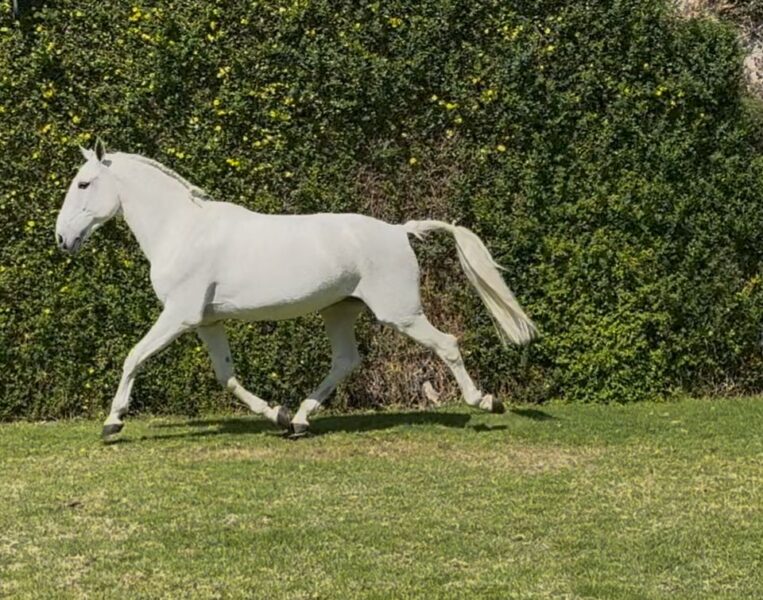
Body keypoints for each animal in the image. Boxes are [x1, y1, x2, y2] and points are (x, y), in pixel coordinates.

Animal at [55, 140, 537, 439]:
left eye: (83, 183)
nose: (62, 239)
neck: (183, 230)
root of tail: (400, 231)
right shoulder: (207, 322)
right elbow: (227, 377)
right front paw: (277, 414)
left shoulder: (179, 314)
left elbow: (133, 356)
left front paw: (112, 423)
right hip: (340, 310)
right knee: (345, 361)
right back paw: (301, 420)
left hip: (401, 313)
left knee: (447, 344)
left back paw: (485, 401)